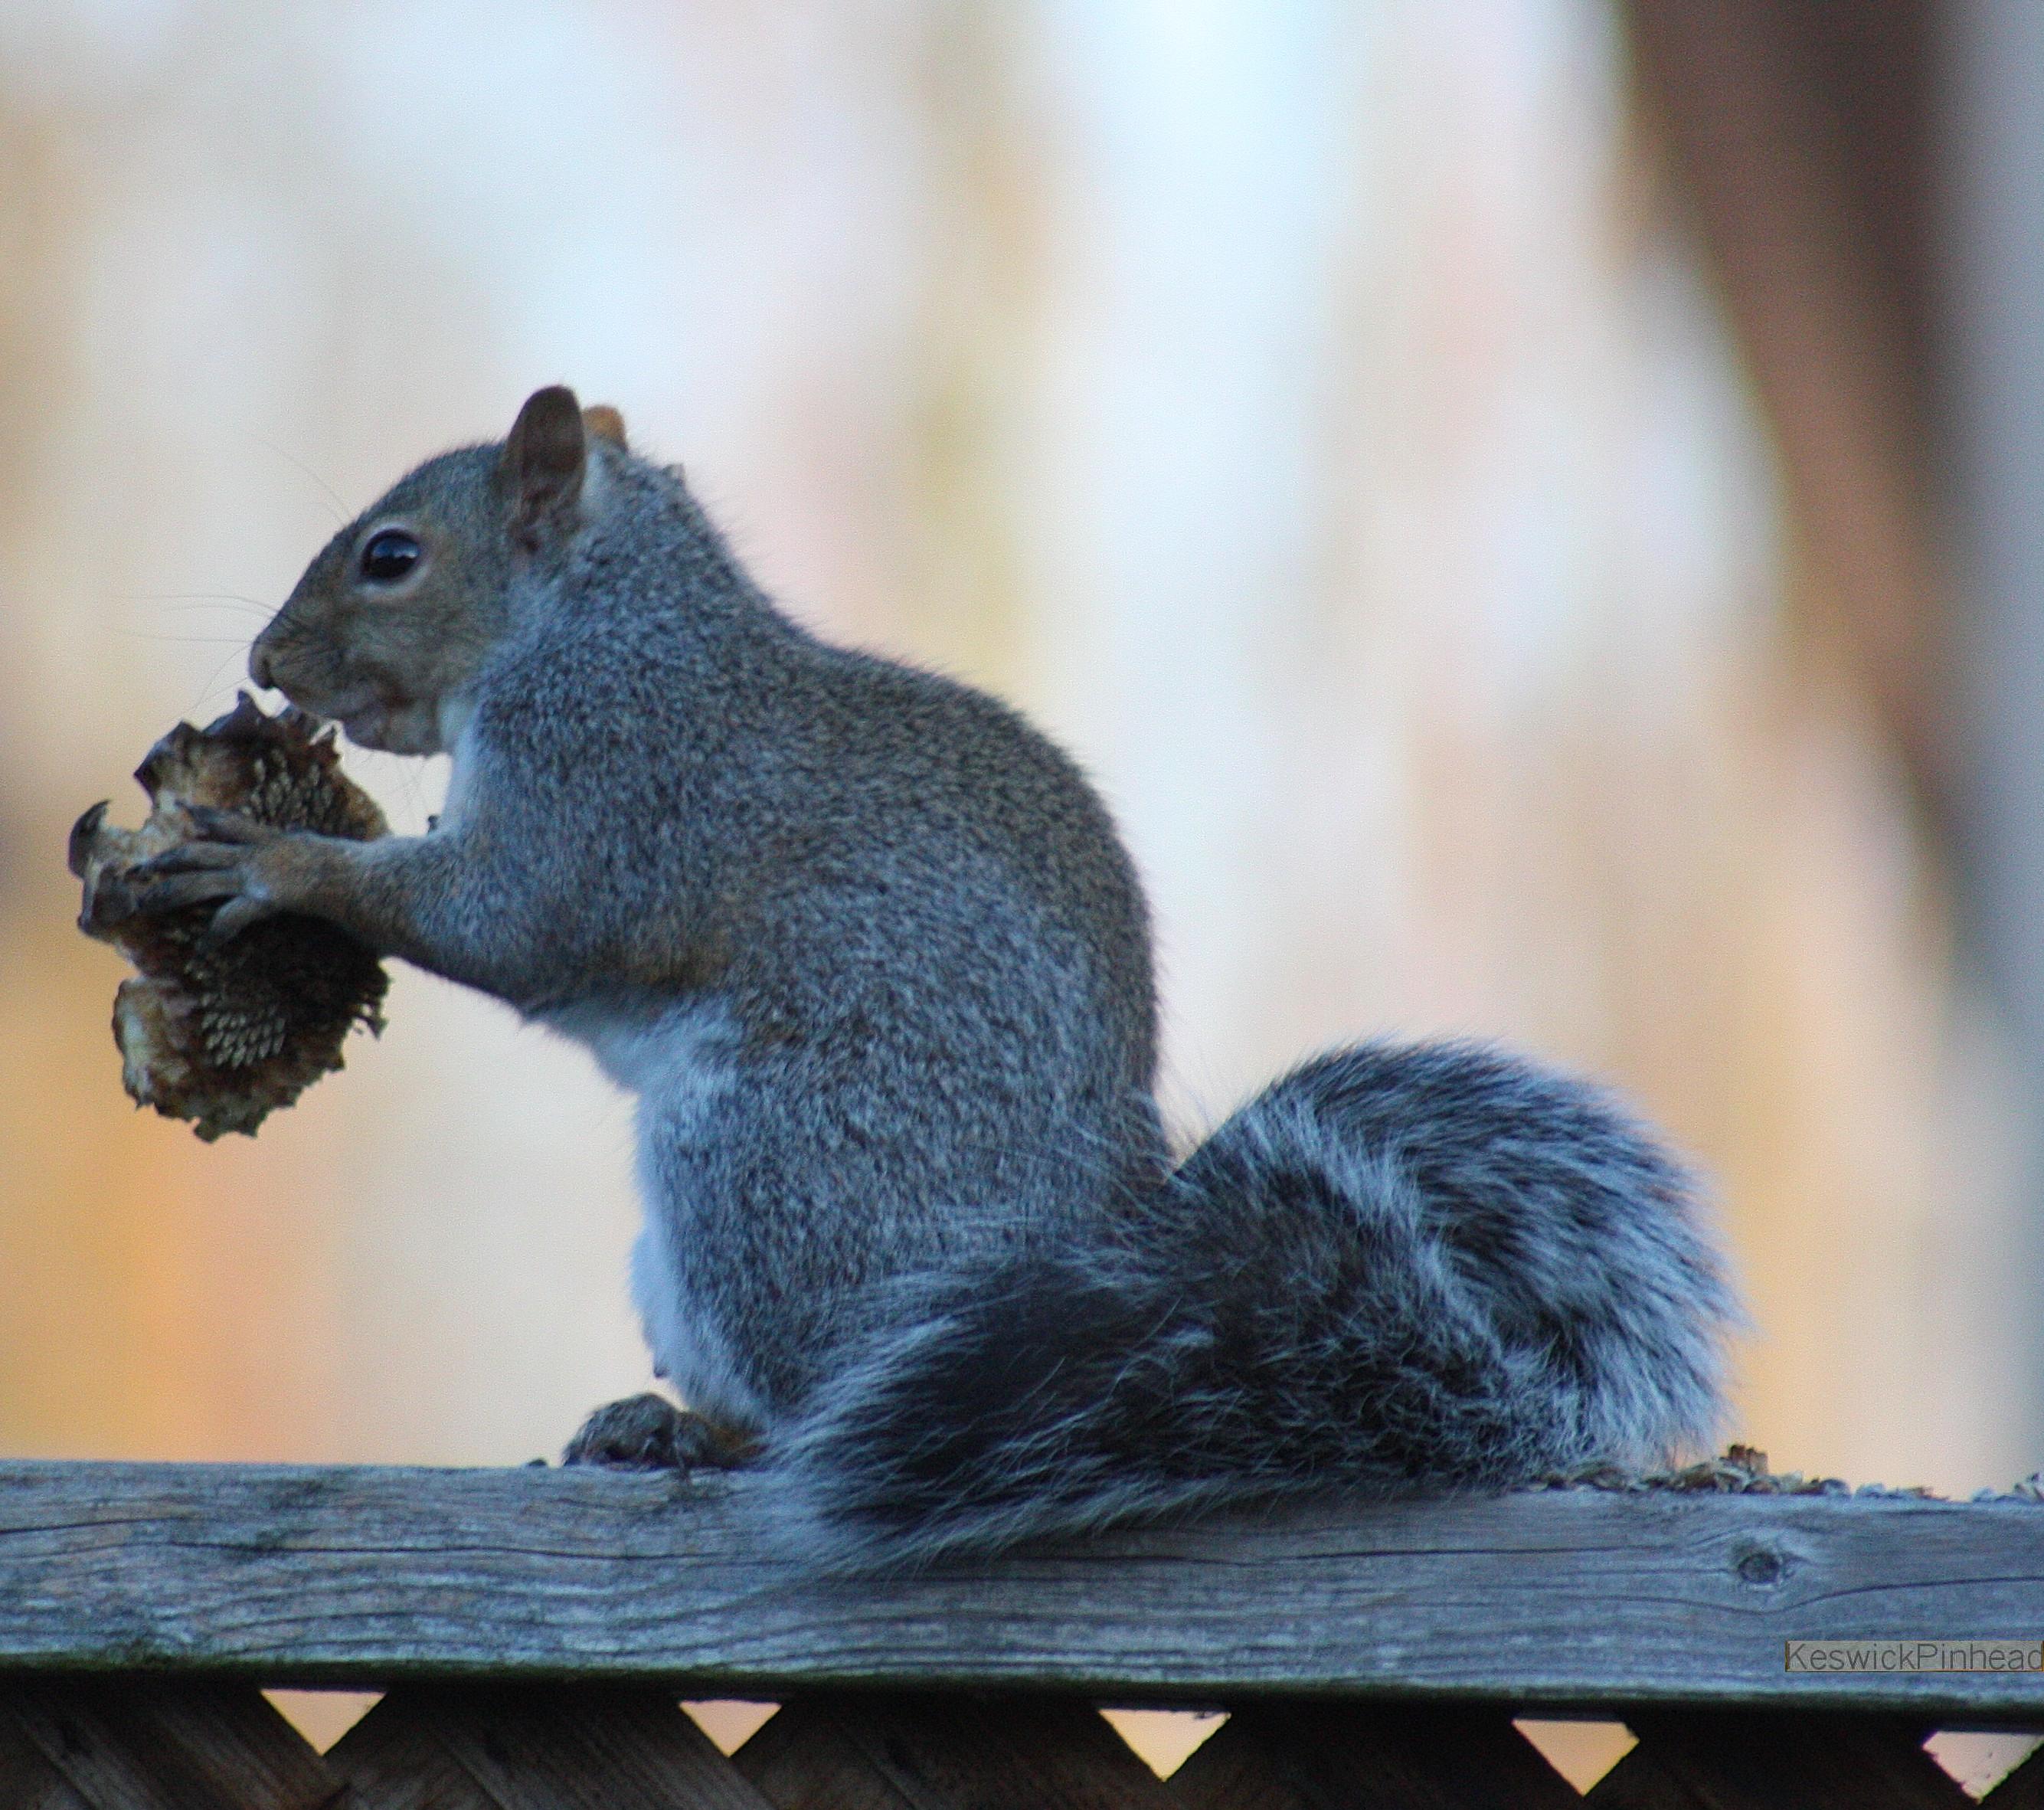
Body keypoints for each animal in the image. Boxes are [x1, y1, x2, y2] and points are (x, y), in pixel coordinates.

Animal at [136, 384, 1741, 1570]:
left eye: (390, 555)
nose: (265, 656)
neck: (598, 620)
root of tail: (1107, 1248)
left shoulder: (612, 781)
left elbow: (514, 921)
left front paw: (273, 857)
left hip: (761, 1166)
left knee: (810, 1400)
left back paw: (734, 1437)